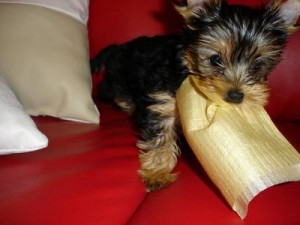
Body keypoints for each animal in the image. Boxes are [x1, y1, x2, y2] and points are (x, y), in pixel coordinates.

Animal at [91, 0, 300, 192]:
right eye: (215, 59)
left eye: (257, 66)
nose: (236, 95)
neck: (187, 67)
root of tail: (118, 47)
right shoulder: (162, 103)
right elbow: (160, 139)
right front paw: (157, 174)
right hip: (118, 79)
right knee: (114, 91)